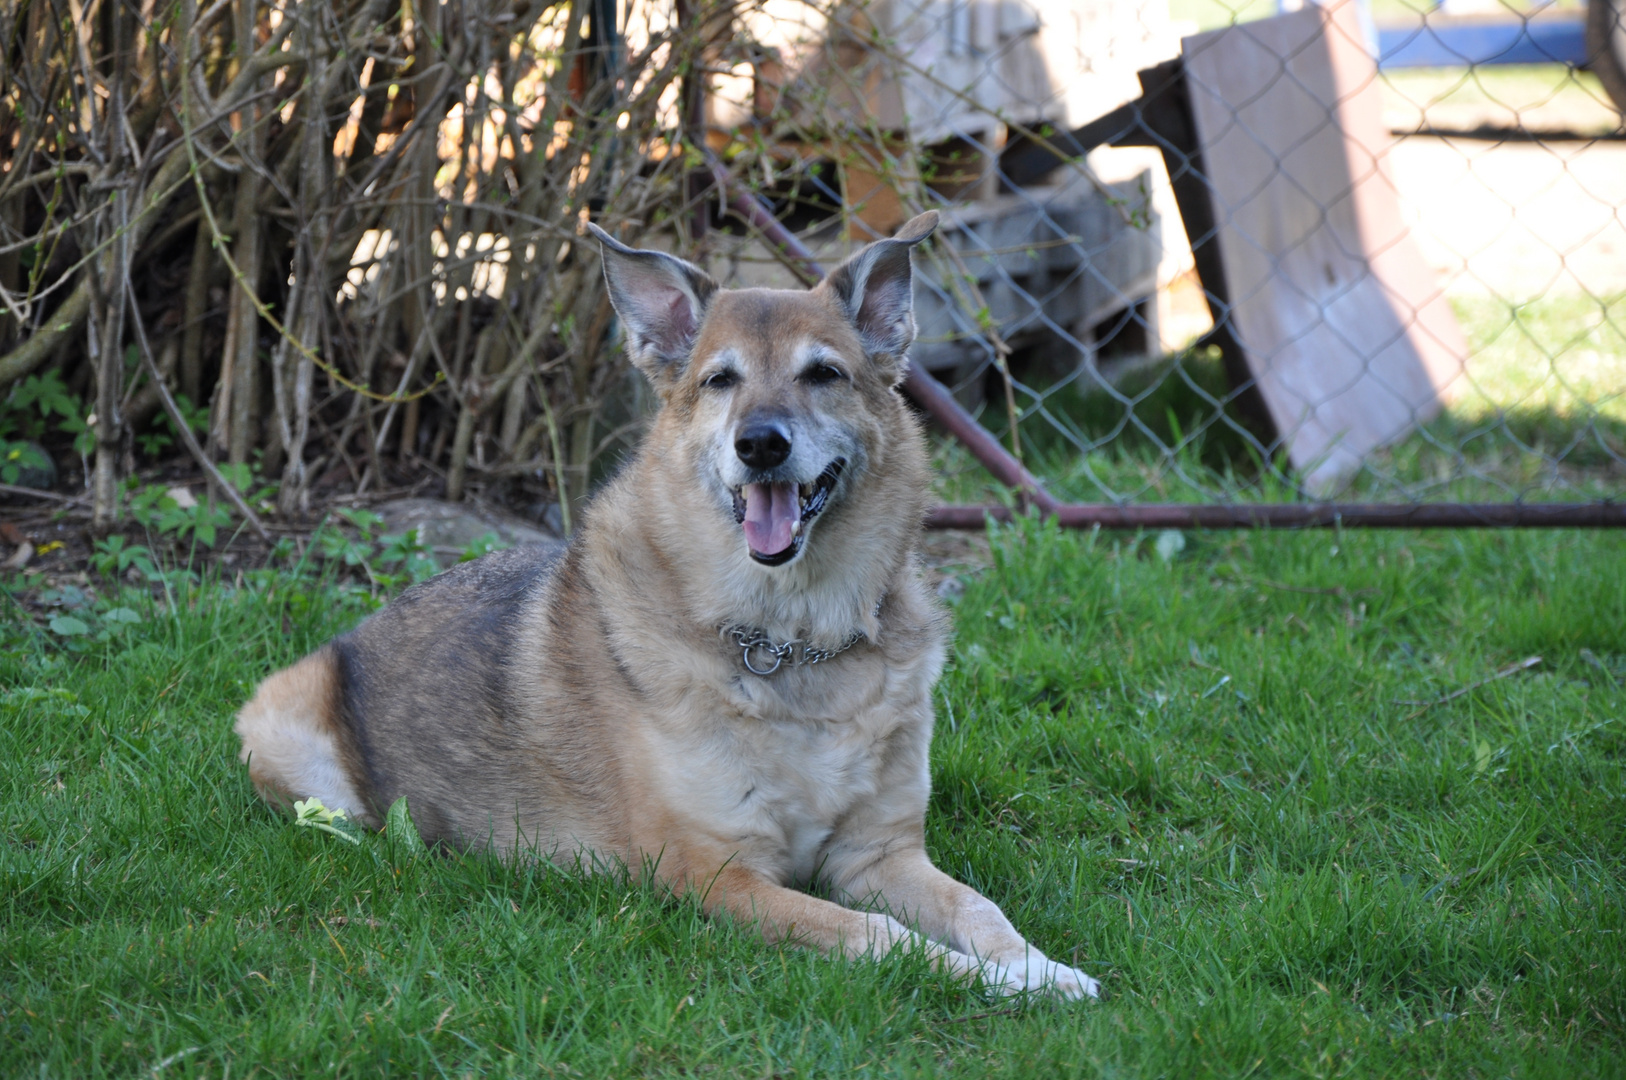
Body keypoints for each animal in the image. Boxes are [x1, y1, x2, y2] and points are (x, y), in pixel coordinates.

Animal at [237, 208, 1105, 995]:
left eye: (824, 374)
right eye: (720, 380)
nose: (761, 444)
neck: (790, 636)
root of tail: (356, 632)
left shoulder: (879, 854)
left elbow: (980, 909)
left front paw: (1041, 968)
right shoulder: (720, 875)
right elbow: (883, 939)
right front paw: (994, 981)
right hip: (283, 727)